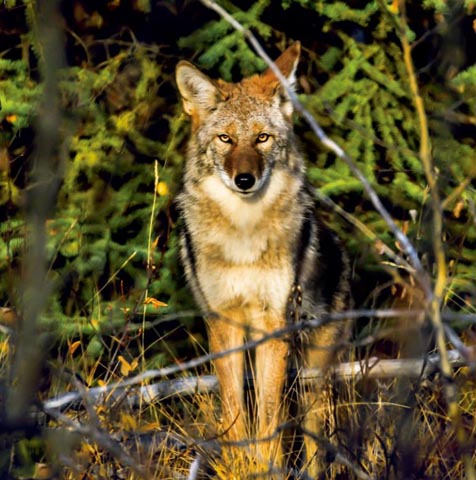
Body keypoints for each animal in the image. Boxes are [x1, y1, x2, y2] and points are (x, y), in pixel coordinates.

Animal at [175, 43, 350, 470]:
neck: (244, 236)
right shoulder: (223, 320)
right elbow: (234, 410)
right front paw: (239, 465)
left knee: (315, 441)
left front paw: (267, 468)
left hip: (313, 376)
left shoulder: (274, 322)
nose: (244, 180)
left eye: (262, 138)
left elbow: (269, 418)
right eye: (225, 139)